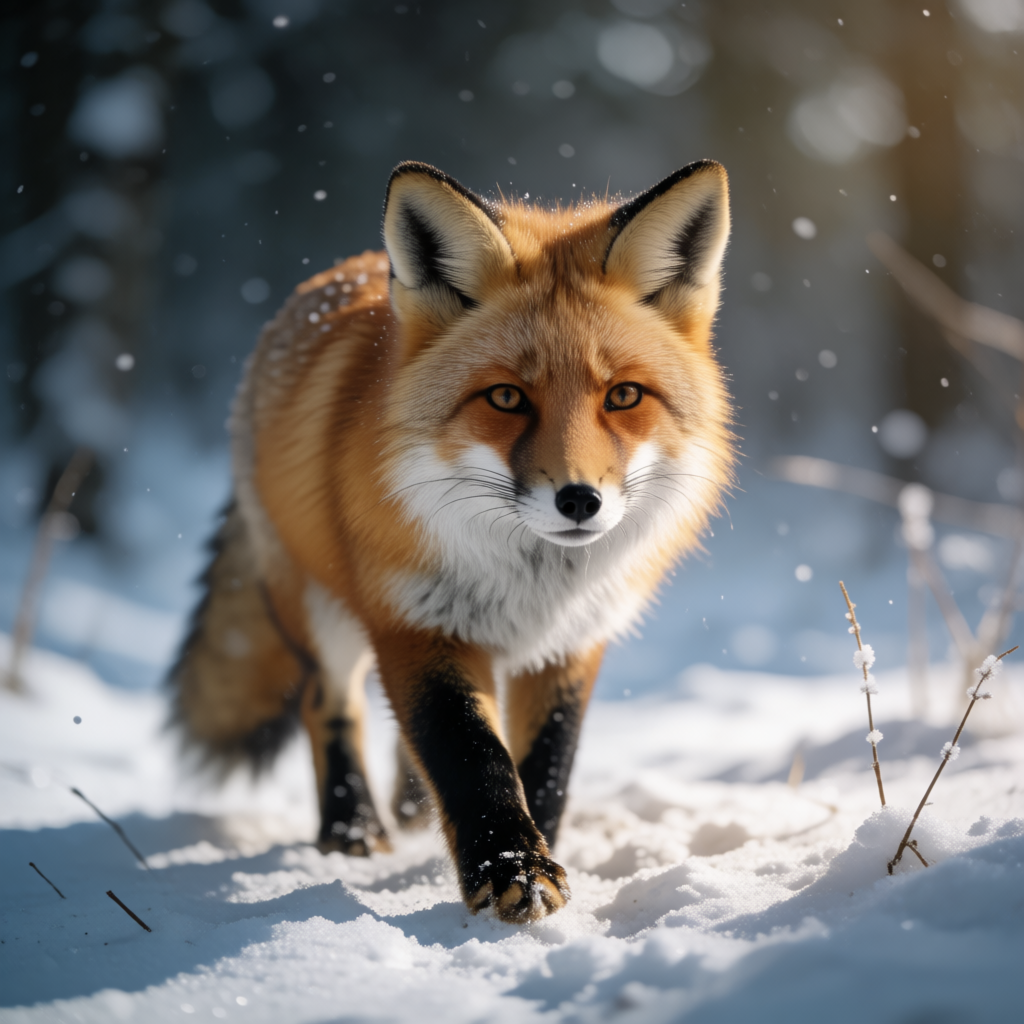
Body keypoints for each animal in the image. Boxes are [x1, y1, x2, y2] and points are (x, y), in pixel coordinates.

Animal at [170, 159, 734, 923]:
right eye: (506, 398)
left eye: (623, 396)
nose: (579, 501)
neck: (533, 582)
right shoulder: (414, 624)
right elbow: (472, 757)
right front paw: (513, 871)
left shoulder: (572, 643)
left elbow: (545, 766)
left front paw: (540, 854)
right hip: (323, 612)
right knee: (328, 703)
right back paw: (351, 829)